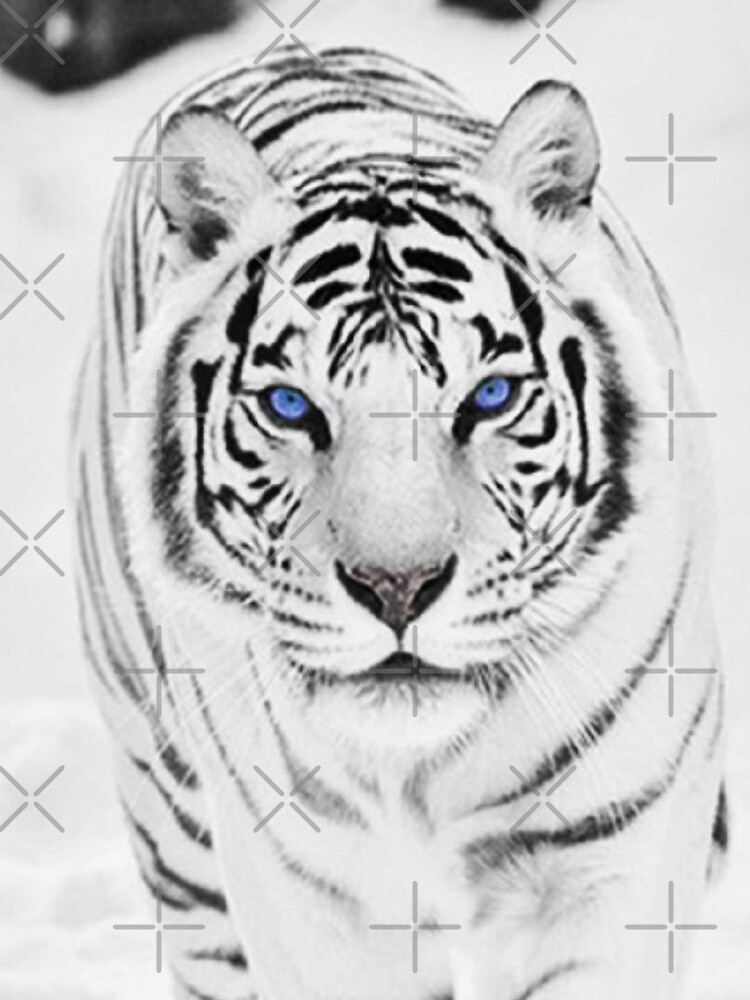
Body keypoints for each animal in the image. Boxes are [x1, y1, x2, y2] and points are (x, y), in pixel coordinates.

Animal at [72, 45, 726, 1000]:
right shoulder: (307, 895)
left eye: (490, 396)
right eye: (290, 405)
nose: (397, 588)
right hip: (175, 829)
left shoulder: (604, 857)